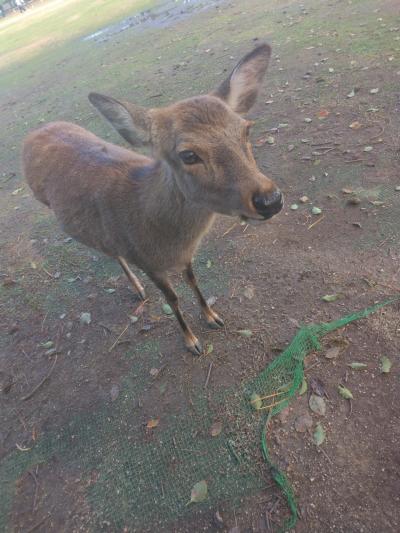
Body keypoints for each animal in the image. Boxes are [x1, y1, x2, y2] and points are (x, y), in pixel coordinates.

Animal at [23, 43, 282, 356]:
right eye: (188, 155)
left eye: (246, 128)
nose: (270, 199)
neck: (168, 240)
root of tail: (32, 133)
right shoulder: (147, 262)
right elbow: (172, 299)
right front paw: (192, 341)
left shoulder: (184, 256)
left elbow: (193, 280)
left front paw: (212, 316)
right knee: (111, 250)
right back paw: (137, 288)